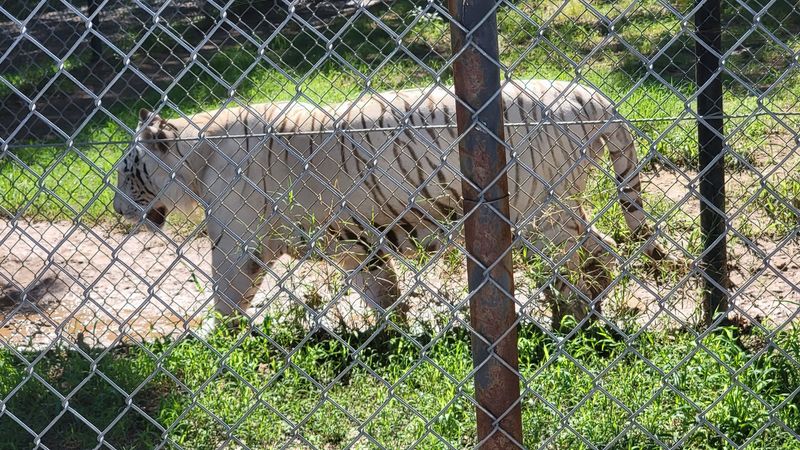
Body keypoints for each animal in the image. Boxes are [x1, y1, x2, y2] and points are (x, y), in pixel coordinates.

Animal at [113, 79, 669, 330]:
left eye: (124, 172)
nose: (117, 210)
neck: (195, 159)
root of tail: (588, 94)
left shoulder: (236, 245)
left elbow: (226, 298)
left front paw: (220, 345)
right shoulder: (352, 244)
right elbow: (382, 293)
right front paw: (394, 338)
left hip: (541, 214)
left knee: (588, 252)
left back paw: (575, 316)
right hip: (556, 211)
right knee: (600, 249)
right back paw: (582, 313)